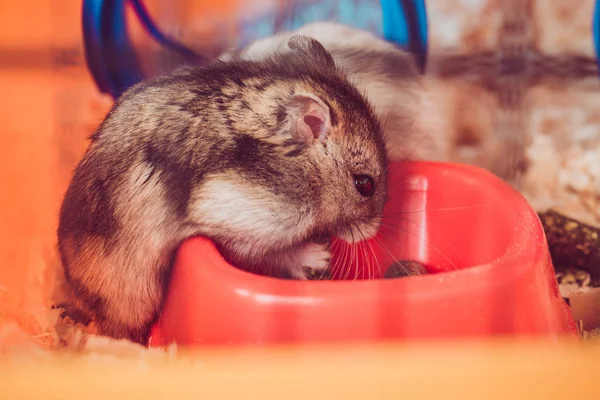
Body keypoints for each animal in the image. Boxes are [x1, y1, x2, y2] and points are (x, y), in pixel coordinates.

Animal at [58, 36, 390, 344]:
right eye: (364, 184)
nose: (373, 231)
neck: (304, 165)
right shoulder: (244, 217)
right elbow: (274, 253)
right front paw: (319, 255)